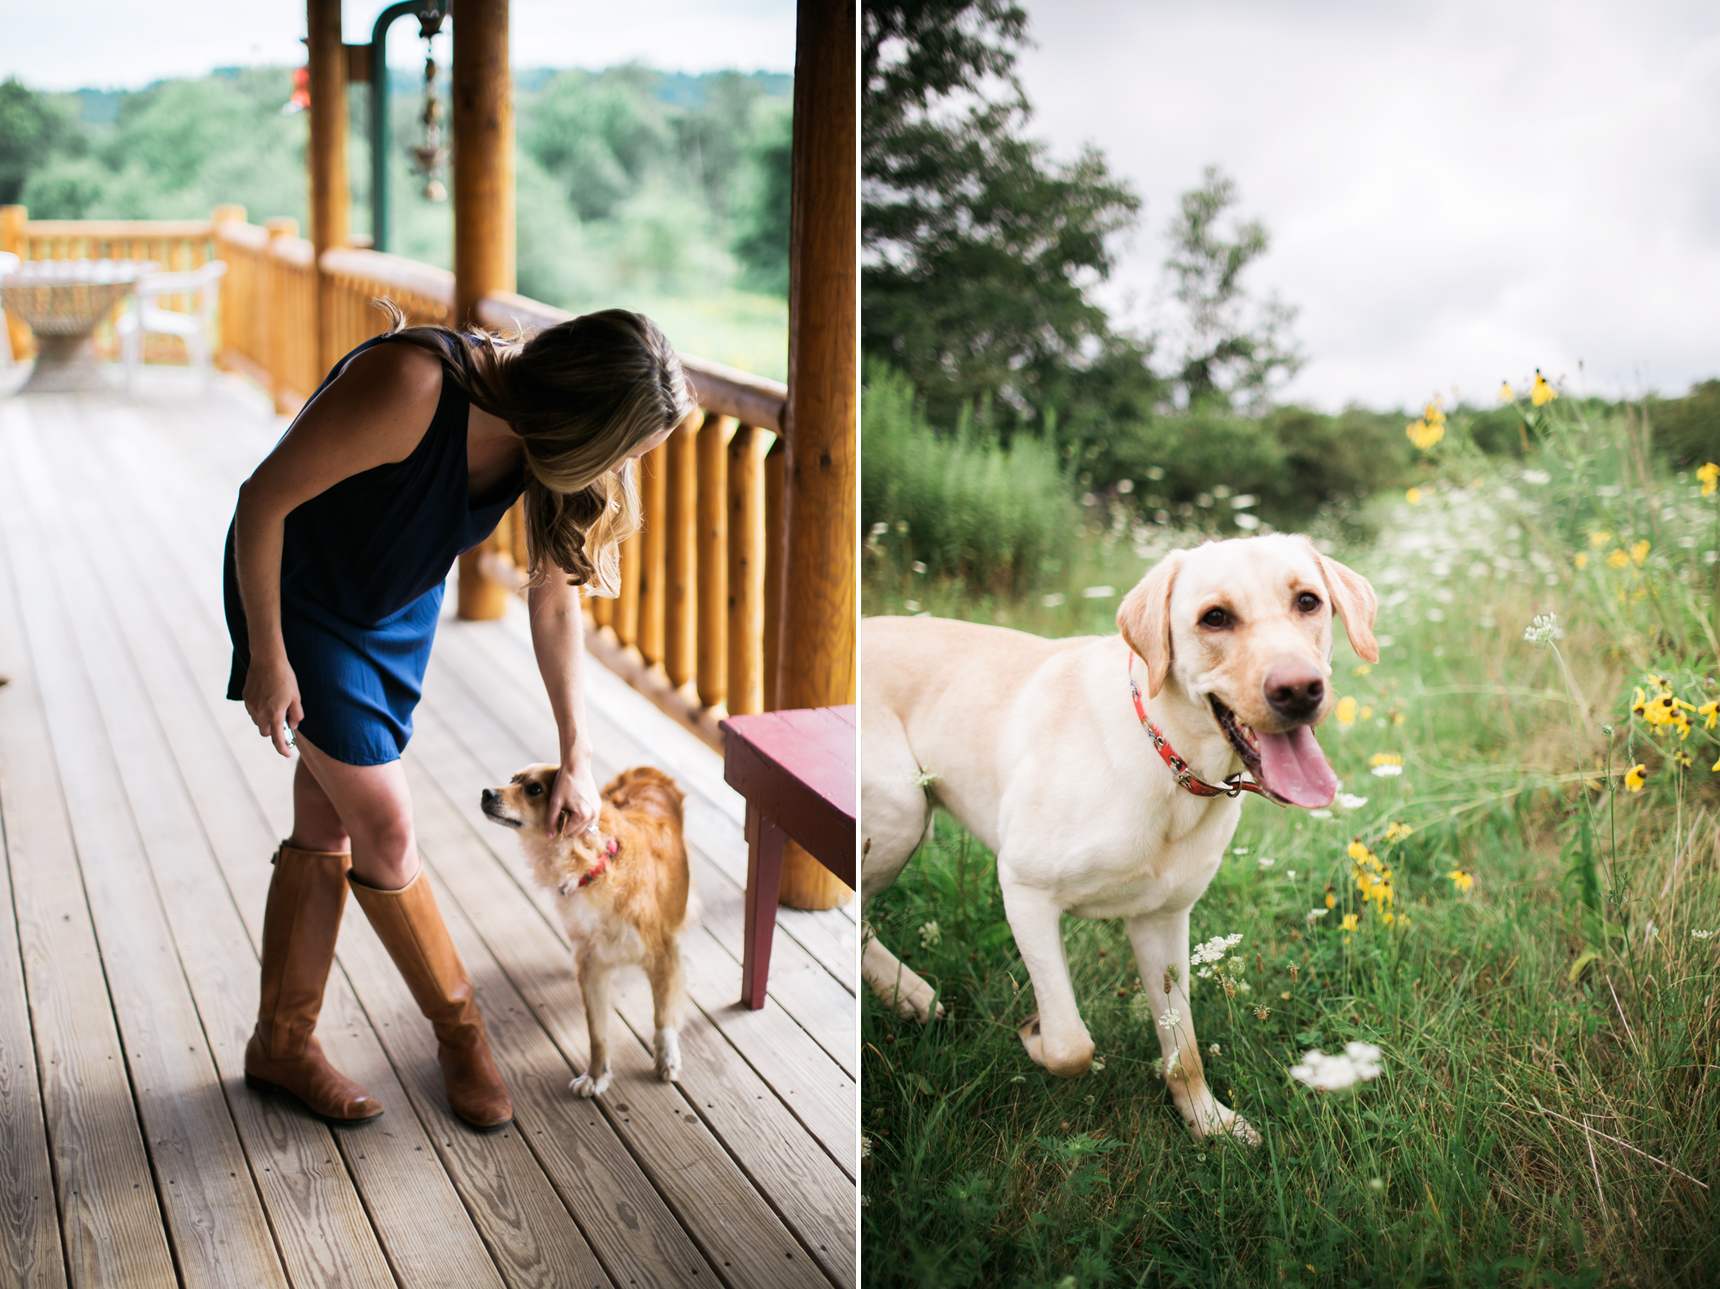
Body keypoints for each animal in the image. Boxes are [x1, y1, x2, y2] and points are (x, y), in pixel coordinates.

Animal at [478, 764, 691, 1094]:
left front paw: (667, 1058)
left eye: (534, 789)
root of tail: (647, 770)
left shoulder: (662, 955)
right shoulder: (591, 965)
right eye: (513, 779)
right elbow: (597, 1031)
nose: (486, 793)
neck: (595, 869)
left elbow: (663, 1015)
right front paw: (596, 1075)